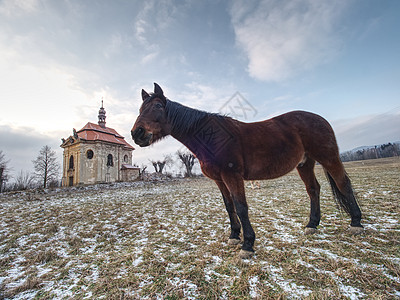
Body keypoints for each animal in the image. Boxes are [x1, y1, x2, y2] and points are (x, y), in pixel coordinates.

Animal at [131, 83, 362, 258]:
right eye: (141, 109)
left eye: (158, 106)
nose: (137, 133)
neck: (211, 137)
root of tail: (320, 119)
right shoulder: (219, 180)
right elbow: (229, 206)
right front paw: (234, 236)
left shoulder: (232, 176)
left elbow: (241, 207)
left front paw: (248, 245)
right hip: (305, 164)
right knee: (313, 189)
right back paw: (312, 225)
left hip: (329, 158)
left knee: (343, 184)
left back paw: (356, 223)